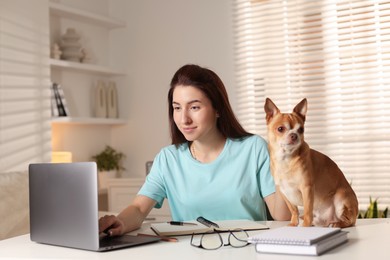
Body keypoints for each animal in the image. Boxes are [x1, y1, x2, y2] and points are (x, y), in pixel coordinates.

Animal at [264, 98, 358, 226]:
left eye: (301, 130)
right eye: (280, 129)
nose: (294, 135)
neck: (285, 159)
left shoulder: (307, 188)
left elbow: (307, 210)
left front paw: (305, 227)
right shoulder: (284, 192)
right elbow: (294, 210)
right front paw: (293, 224)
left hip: (341, 198)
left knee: (349, 221)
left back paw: (337, 224)